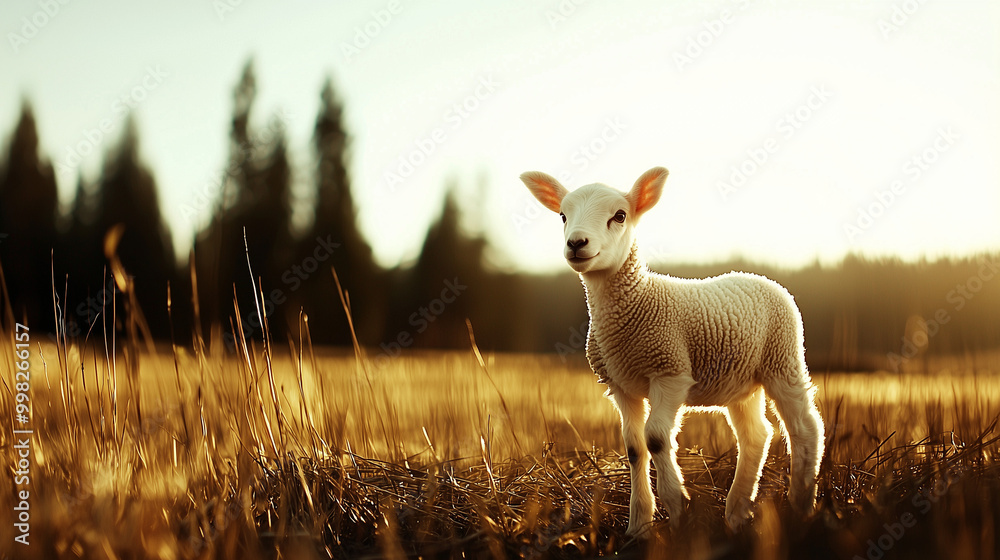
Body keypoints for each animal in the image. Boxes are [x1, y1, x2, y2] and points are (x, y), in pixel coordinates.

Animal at [520, 166, 824, 536]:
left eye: (619, 216)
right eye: (563, 215)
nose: (576, 243)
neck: (635, 303)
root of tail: (758, 277)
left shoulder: (670, 371)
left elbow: (655, 439)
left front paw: (678, 510)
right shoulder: (620, 385)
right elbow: (634, 447)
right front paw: (638, 525)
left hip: (783, 357)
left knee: (805, 426)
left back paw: (801, 505)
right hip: (741, 381)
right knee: (756, 435)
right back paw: (737, 513)